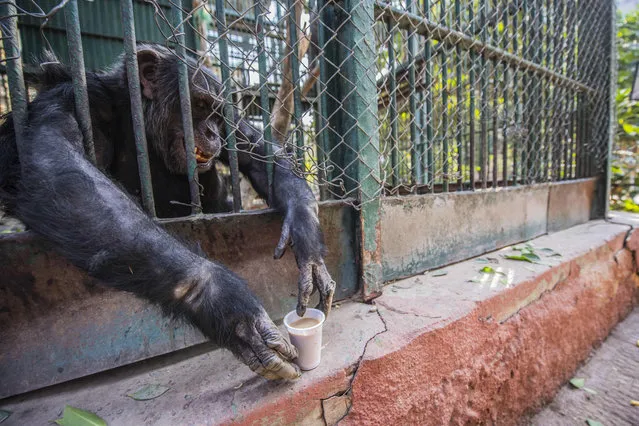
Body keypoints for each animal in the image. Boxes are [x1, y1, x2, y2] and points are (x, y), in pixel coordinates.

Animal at [0, 45, 338, 380]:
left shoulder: (232, 122)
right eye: (198, 105)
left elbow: (260, 156)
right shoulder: (75, 98)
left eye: (217, 114)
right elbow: (56, 167)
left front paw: (307, 241)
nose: (213, 133)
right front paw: (224, 304)